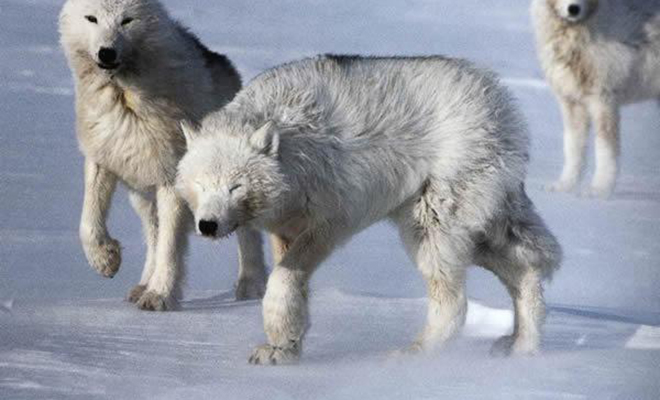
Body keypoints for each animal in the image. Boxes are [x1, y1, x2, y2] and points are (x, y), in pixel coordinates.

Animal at [59, 0, 268, 310]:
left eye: (126, 21)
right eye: (91, 19)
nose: (106, 52)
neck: (125, 96)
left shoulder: (170, 179)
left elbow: (170, 248)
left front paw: (160, 296)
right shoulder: (101, 159)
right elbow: (88, 221)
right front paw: (106, 260)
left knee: (247, 235)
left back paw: (251, 286)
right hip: (142, 197)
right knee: (153, 236)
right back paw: (142, 286)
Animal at [177, 54, 564, 364]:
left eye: (235, 186)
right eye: (201, 185)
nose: (207, 225)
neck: (295, 152)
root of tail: (500, 100)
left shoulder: (328, 226)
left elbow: (284, 280)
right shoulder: (284, 230)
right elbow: (290, 290)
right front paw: (284, 348)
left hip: (430, 233)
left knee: (456, 304)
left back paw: (413, 355)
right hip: (472, 236)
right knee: (526, 272)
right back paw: (522, 348)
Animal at [532, 0, 660, 198]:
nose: (573, 9)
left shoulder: (603, 100)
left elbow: (605, 150)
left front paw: (599, 190)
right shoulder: (572, 102)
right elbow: (573, 148)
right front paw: (564, 186)